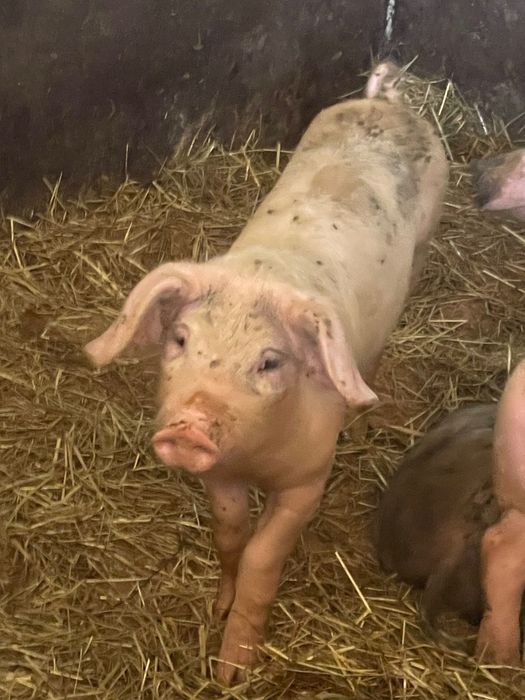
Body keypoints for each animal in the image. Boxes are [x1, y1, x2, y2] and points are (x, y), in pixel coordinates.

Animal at [84, 61, 448, 684]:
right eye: (181, 340)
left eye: (271, 361)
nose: (191, 425)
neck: (255, 459)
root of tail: (388, 104)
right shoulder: (218, 473)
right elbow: (230, 532)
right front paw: (217, 608)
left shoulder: (308, 480)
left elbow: (261, 555)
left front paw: (232, 674)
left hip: (429, 229)